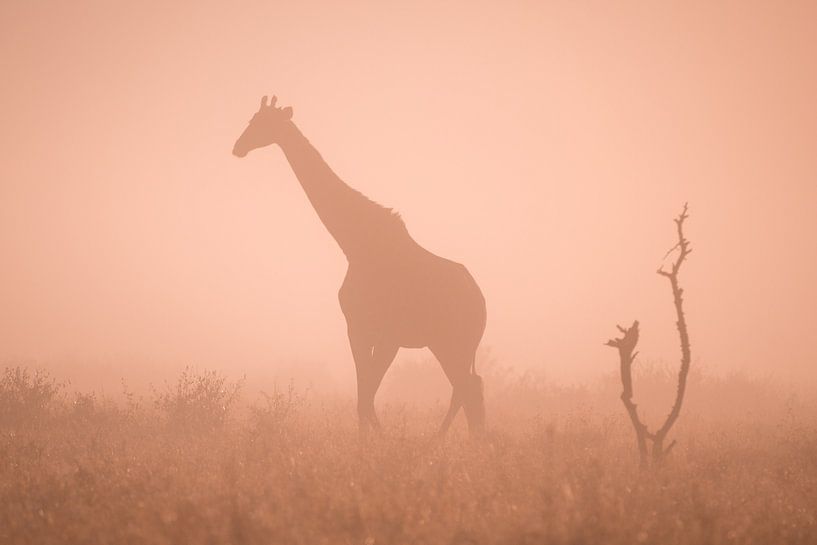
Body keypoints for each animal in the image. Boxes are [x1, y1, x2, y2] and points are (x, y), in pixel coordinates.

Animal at [231, 94, 484, 434]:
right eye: (251, 119)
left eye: (262, 123)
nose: (238, 147)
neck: (355, 245)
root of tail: (481, 302)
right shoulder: (364, 331)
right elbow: (365, 395)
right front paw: (374, 440)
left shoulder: (373, 331)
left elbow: (366, 396)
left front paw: (377, 441)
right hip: (453, 345)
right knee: (471, 387)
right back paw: (469, 440)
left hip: (453, 342)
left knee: (465, 388)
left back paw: (443, 440)